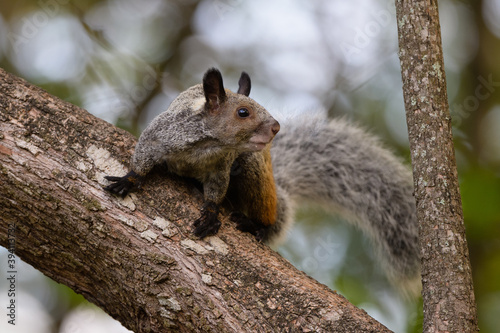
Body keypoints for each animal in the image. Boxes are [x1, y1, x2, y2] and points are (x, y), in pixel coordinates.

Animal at [104, 68, 418, 290]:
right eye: (243, 112)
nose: (276, 127)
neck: (208, 145)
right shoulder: (160, 135)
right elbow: (143, 157)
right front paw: (129, 180)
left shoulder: (222, 167)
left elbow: (216, 191)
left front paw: (211, 212)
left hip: (254, 170)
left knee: (266, 217)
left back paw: (256, 225)